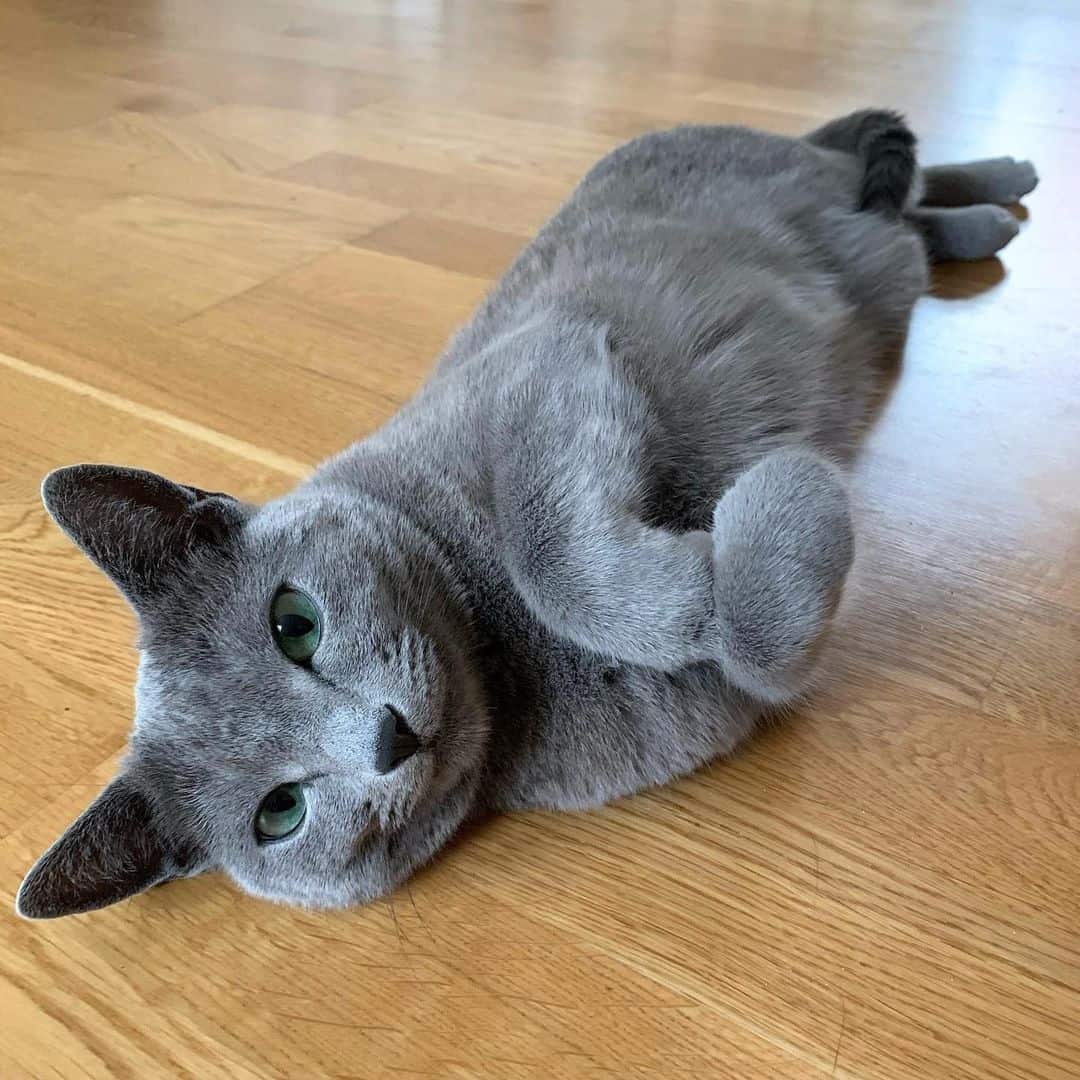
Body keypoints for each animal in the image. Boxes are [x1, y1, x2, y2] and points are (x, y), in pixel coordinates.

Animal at [12, 111, 1032, 920]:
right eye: (280, 813)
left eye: (293, 624)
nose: (386, 738)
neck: (505, 664)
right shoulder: (725, 702)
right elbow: (762, 652)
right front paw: (779, 517)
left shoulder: (548, 363)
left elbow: (553, 551)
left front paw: (736, 542)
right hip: (876, 268)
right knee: (900, 214)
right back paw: (992, 208)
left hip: (799, 192)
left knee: (878, 167)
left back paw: (1008, 179)